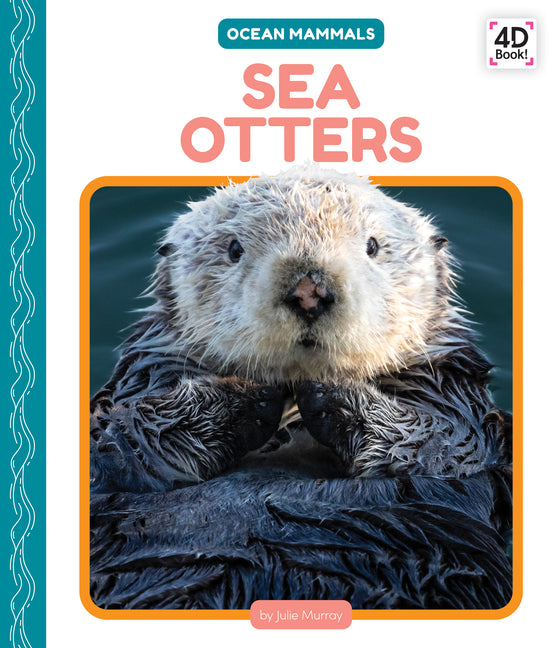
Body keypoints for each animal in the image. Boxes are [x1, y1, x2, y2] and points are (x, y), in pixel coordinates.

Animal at [90, 166, 510, 493]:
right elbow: (121, 435)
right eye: (234, 249)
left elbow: (442, 443)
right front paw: (251, 394)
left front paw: (326, 392)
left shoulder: (460, 408)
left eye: (373, 246)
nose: (309, 292)